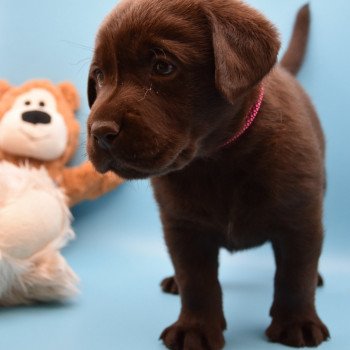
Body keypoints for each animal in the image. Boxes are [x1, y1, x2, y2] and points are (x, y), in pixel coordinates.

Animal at [86, 1, 330, 348]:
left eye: (163, 67)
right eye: (99, 75)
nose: (100, 132)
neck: (216, 159)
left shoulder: (301, 217)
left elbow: (295, 275)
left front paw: (297, 322)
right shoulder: (183, 227)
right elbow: (197, 282)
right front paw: (196, 328)